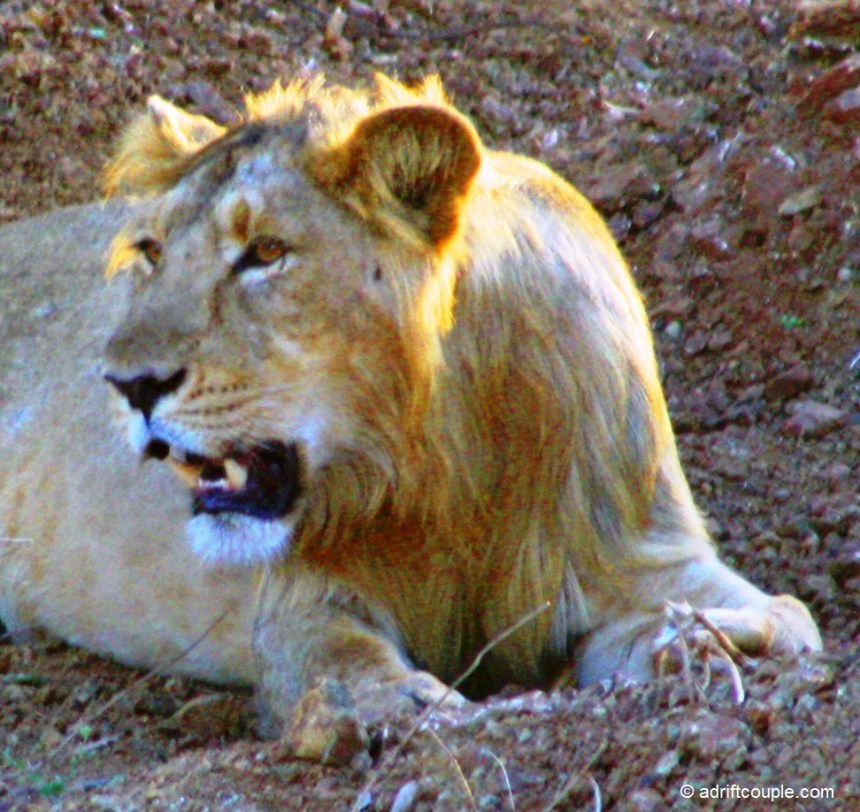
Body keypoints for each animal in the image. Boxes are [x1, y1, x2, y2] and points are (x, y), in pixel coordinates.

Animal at [2, 74, 820, 738]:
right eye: (152, 251)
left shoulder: (643, 547)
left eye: (266, 252)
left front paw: (704, 641)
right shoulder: (296, 602)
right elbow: (338, 663)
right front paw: (406, 705)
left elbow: (790, 620)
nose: (126, 384)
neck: (438, 459)